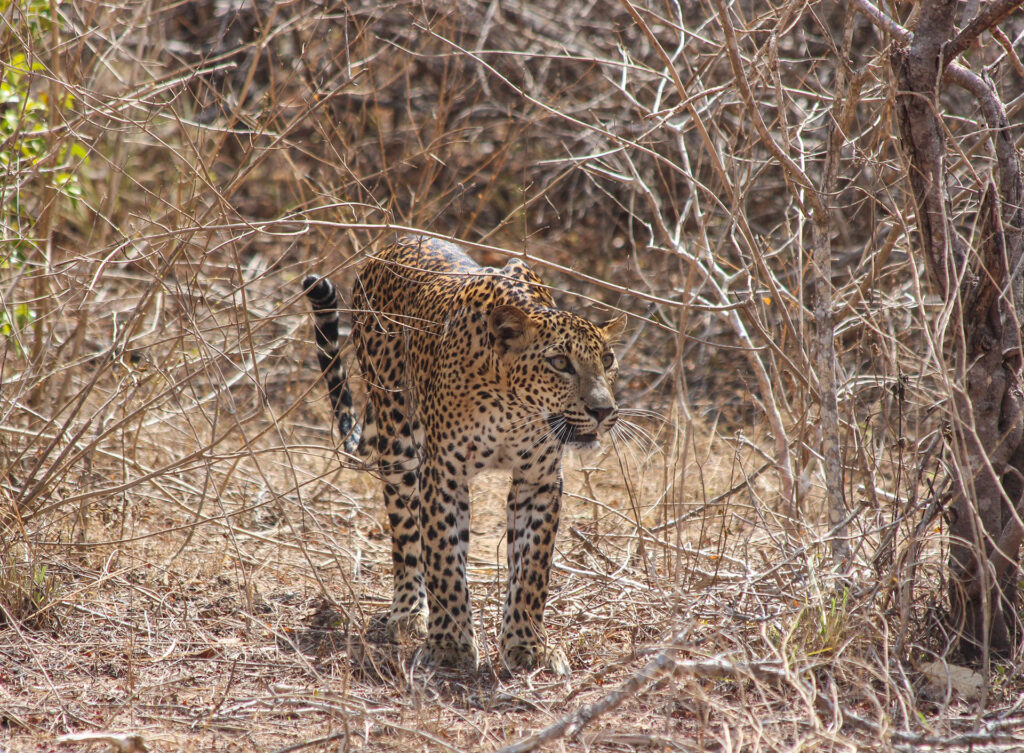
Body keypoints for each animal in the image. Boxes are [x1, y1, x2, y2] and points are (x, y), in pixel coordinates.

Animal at [303, 235, 622, 676]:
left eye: (607, 360)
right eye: (560, 363)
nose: (603, 410)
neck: (514, 408)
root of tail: (387, 248)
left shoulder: (539, 480)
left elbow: (532, 568)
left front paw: (527, 645)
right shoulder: (444, 474)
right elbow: (443, 559)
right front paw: (451, 644)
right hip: (397, 440)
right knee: (406, 537)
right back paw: (408, 611)